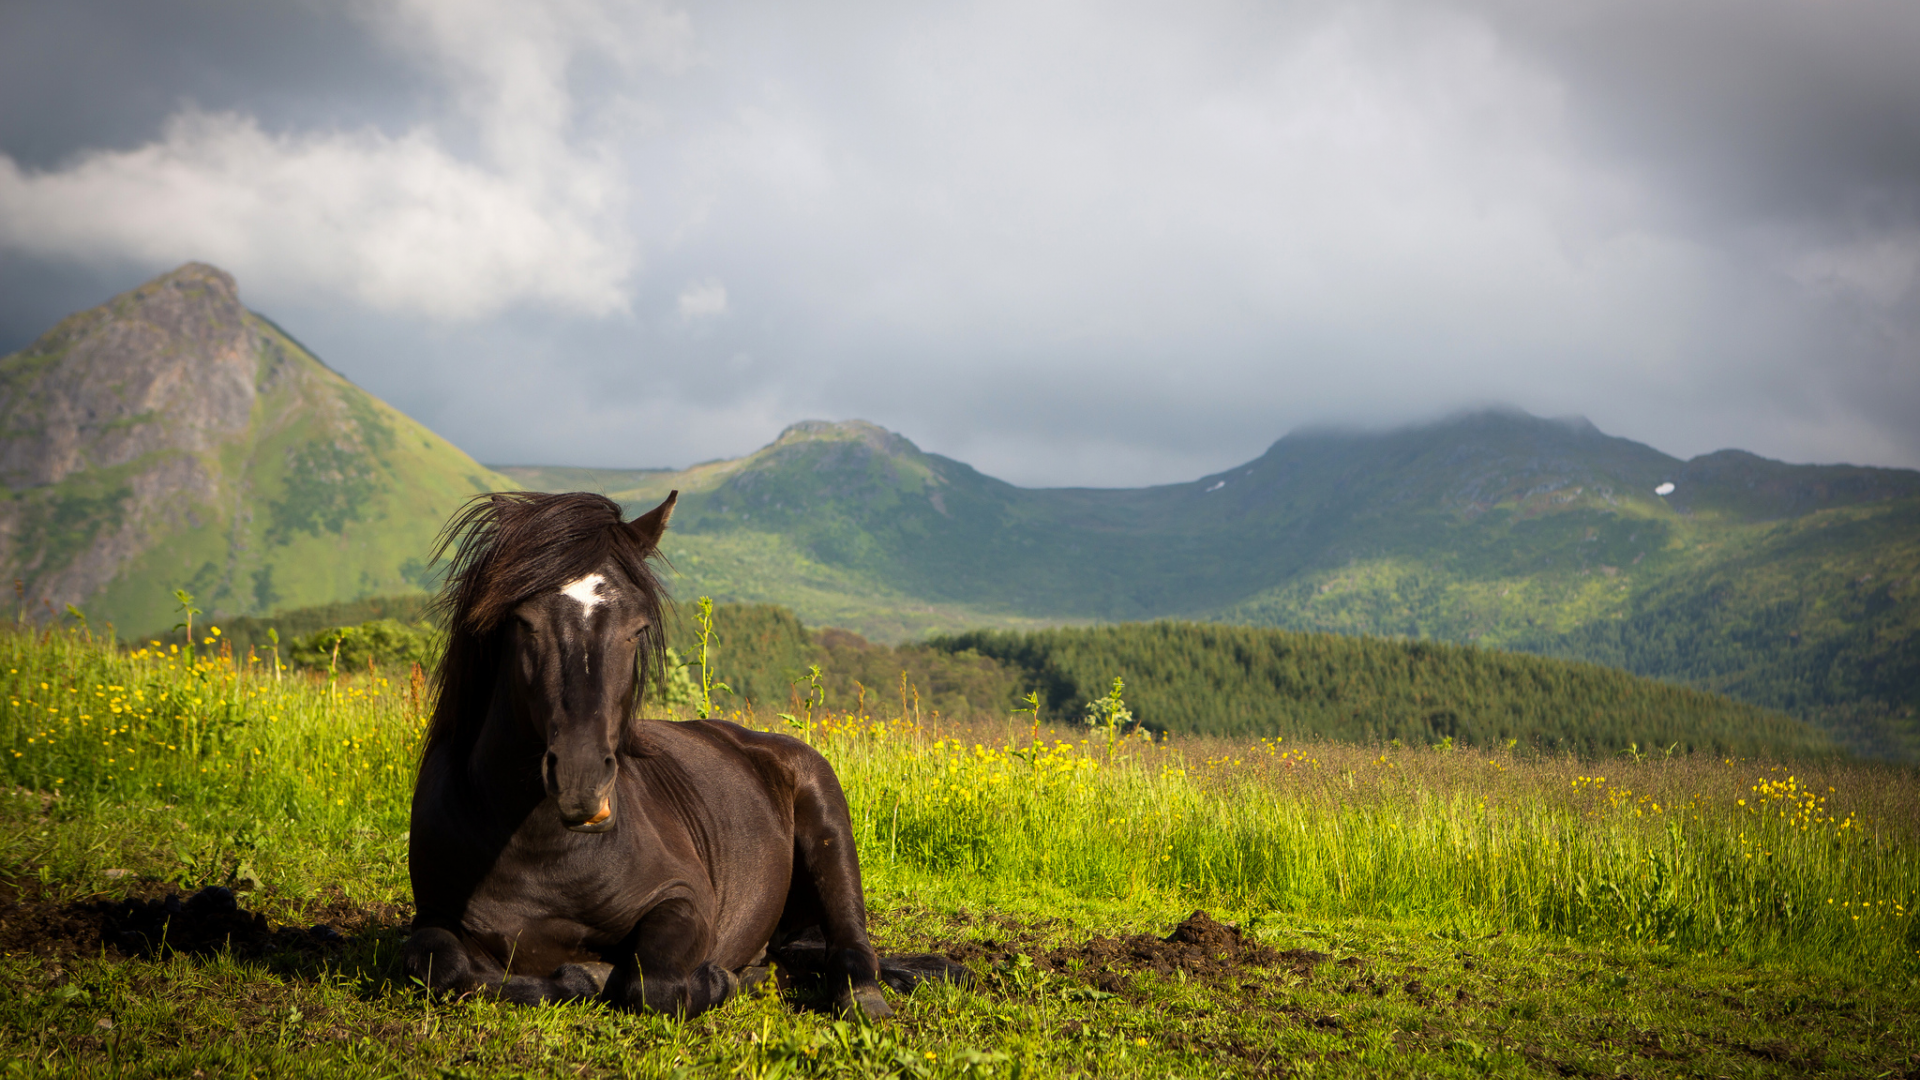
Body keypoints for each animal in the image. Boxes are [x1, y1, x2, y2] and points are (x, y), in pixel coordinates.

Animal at [403, 491, 890, 1014]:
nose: (581, 779)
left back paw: (856, 997)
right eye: (524, 622)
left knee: (850, 944)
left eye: (636, 629)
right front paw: (581, 976)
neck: (538, 849)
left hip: (829, 830)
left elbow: (652, 982)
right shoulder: (433, 914)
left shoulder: (683, 898)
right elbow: (442, 966)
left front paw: (711, 979)